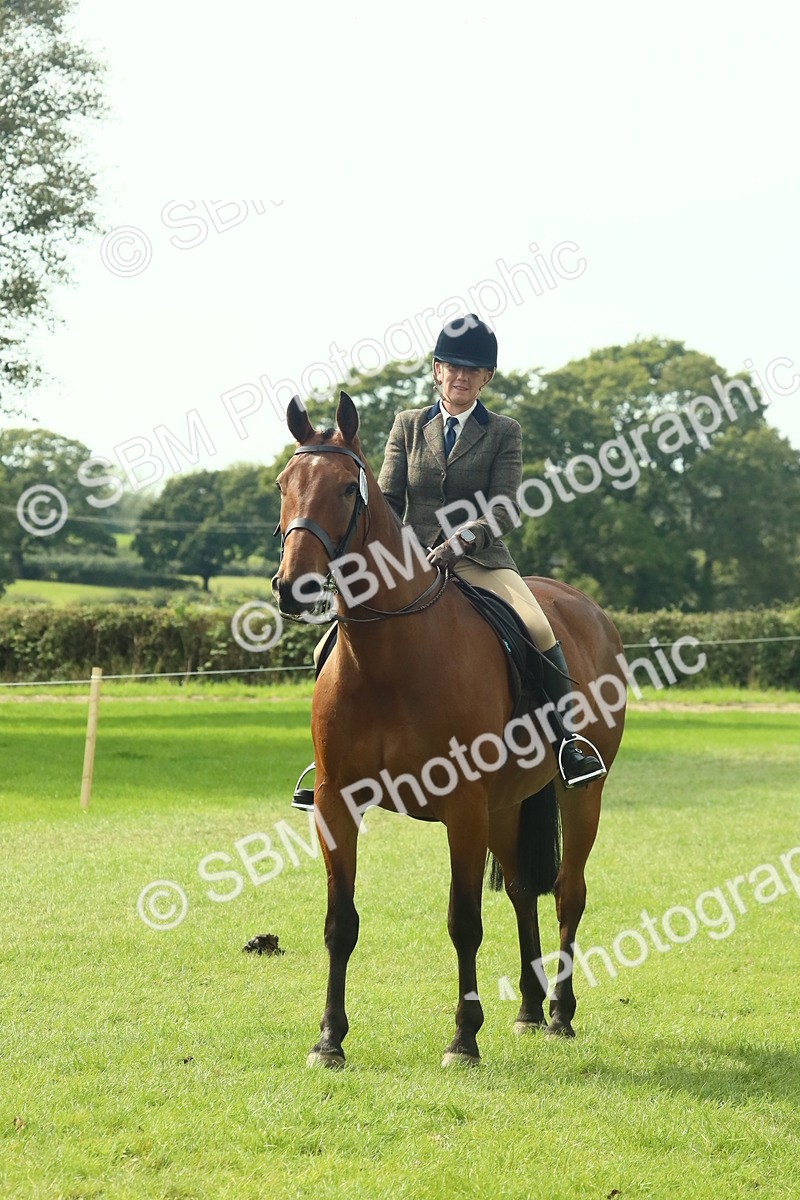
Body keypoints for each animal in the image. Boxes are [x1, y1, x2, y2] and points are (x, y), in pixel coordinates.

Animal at [272, 392, 627, 1068]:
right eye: (283, 484)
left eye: (345, 489)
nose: (292, 587)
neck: (387, 655)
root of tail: (585, 606)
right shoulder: (335, 803)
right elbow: (340, 923)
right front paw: (329, 1039)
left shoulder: (463, 805)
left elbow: (464, 922)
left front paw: (463, 1039)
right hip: (507, 804)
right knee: (522, 891)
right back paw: (528, 1010)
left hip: (579, 792)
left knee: (568, 893)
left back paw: (560, 1013)